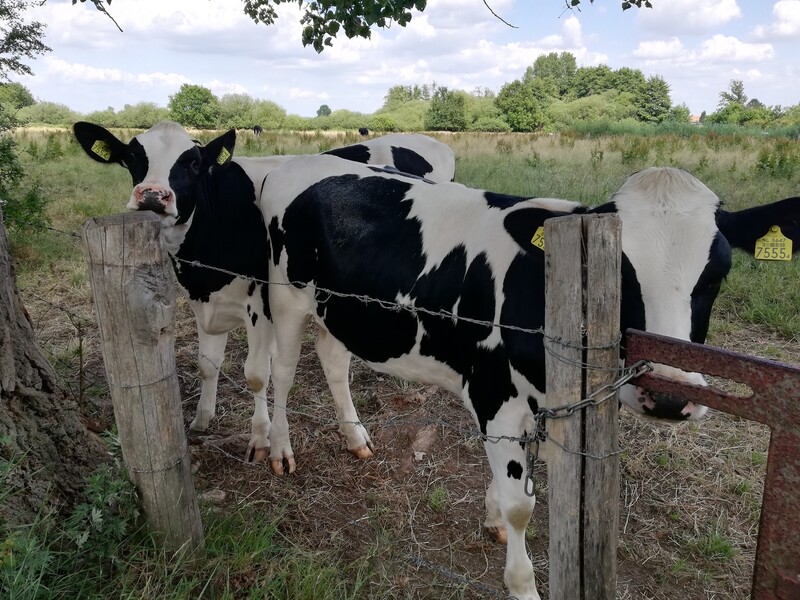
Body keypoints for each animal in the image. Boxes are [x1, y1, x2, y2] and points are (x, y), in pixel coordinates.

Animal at [72, 119, 456, 472]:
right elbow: (207, 364)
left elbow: (257, 372)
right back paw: (354, 435)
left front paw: (260, 439)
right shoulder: (204, 301)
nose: (152, 196)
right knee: (332, 357)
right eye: (131, 157)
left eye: (193, 162)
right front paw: (201, 419)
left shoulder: (260, 300)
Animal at [258, 156, 800, 600]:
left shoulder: (548, 401)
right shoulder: (493, 394)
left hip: (338, 309)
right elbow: (522, 506)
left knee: (333, 360)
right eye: (621, 273)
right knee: (280, 373)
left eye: (718, 274)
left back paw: (356, 439)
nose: (667, 396)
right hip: (284, 295)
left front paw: (493, 517)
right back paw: (280, 449)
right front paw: (521, 581)